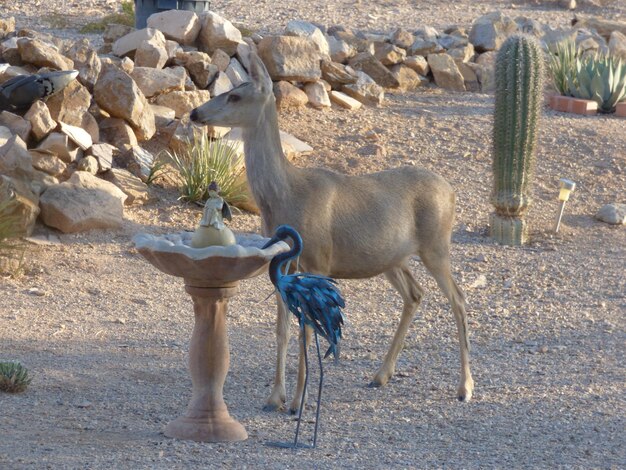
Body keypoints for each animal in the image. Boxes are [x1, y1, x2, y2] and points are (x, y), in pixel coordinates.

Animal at [190, 50, 472, 412]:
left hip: (436, 245)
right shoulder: (283, 263)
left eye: (235, 96)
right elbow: (282, 329)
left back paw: (464, 387)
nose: (196, 113)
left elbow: (306, 331)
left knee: (458, 299)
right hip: (392, 258)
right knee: (415, 293)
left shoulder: (320, 260)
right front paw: (275, 397)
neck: (286, 196)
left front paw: (298, 401)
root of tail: (452, 192)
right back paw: (380, 375)